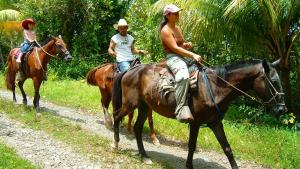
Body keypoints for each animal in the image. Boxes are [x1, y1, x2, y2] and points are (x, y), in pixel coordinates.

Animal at [111, 59, 288, 168]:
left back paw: (144, 156)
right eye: (273, 81)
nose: (282, 109)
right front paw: (189, 165)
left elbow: (227, 148)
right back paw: (116, 144)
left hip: (144, 106)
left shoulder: (215, 123)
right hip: (130, 104)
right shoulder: (195, 122)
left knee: (137, 128)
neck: (215, 88)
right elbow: (191, 145)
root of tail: (131, 70)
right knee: (117, 116)